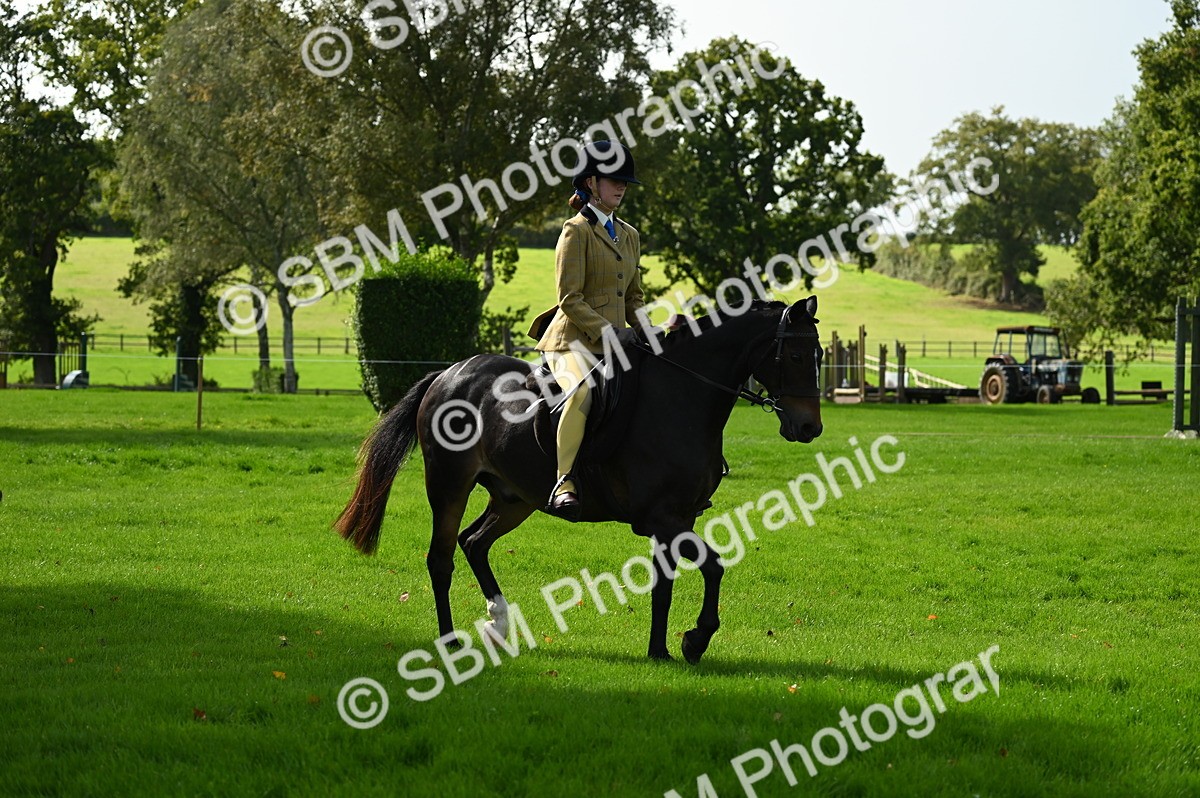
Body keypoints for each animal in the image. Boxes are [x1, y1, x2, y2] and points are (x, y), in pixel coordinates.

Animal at [334, 296, 824, 663]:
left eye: (818, 356)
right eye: (796, 355)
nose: (809, 428)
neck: (682, 397)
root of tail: (449, 373)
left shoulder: (677, 518)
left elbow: (664, 588)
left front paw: (660, 651)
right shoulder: (664, 518)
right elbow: (713, 566)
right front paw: (695, 640)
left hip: (515, 498)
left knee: (474, 542)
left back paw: (498, 622)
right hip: (449, 485)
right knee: (441, 558)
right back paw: (451, 640)